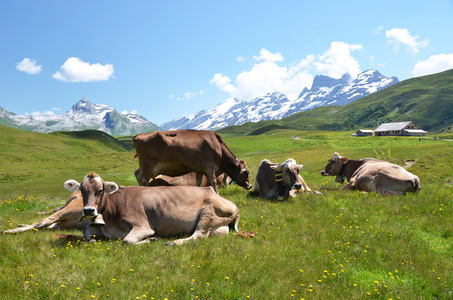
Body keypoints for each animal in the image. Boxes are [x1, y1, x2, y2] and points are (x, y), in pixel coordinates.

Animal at [64, 172, 240, 245]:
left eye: (100, 190)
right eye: (82, 190)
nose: (88, 210)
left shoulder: (142, 226)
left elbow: (127, 241)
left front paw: (151, 240)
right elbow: (86, 230)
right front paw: (92, 239)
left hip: (208, 211)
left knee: (199, 235)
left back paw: (173, 242)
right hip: (218, 227)